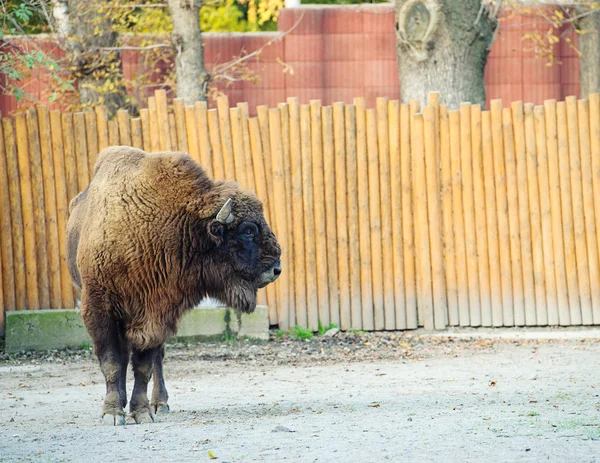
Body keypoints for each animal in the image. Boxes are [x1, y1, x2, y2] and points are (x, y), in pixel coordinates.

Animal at [67, 147, 282, 426]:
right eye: (248, 230)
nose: (277, 268)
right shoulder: (99, 310)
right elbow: (112, 362)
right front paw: (113, 413)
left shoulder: (155, 314)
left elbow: (144, 366)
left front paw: (142, 412)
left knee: (157, 358)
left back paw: (160, 404)